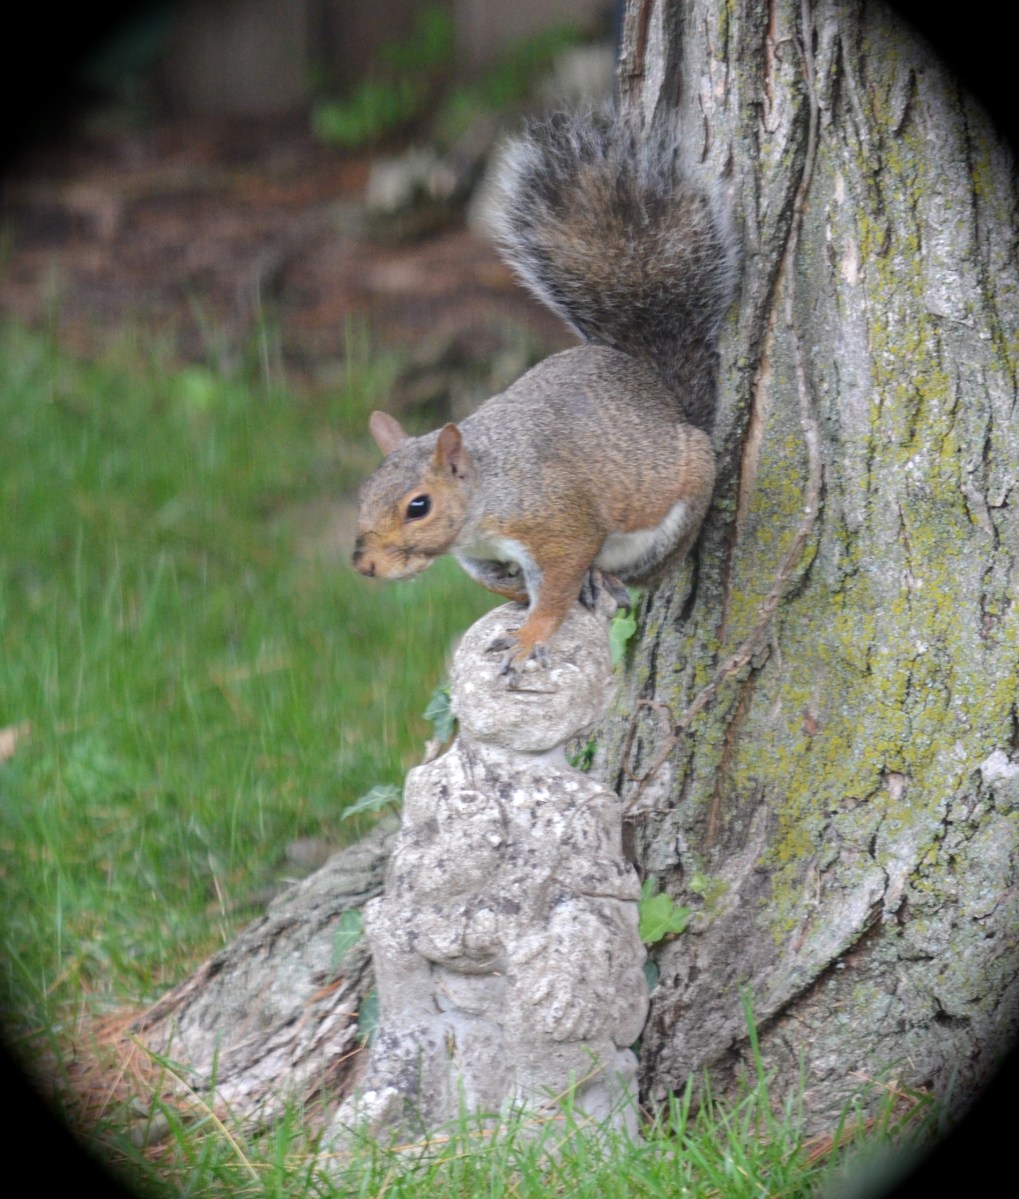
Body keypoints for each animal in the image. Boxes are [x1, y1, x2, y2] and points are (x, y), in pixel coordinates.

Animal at [352, 109, 739, 684]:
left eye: (418, 506)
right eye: (363, 492)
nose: (364, 565)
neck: (488, 493)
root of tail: (664, 397)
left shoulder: (557, 525)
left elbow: (557, 588)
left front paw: (529, 636)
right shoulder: (479, 556)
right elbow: (493, 581)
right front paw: (512, 595)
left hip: (676, 511)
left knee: (641, 573)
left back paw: (605, 578)